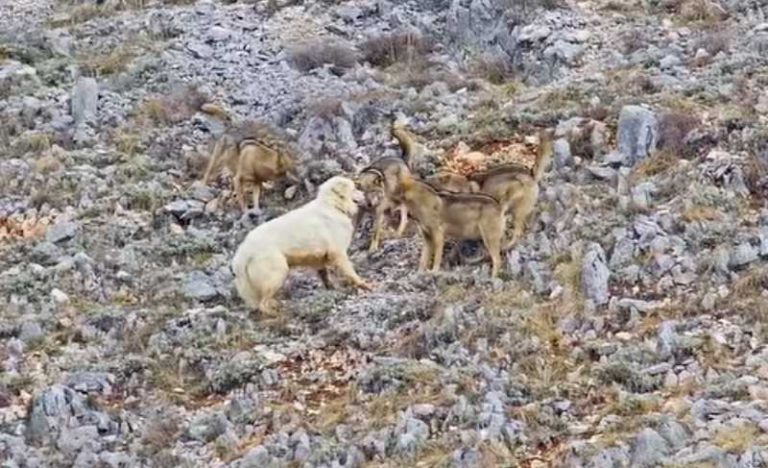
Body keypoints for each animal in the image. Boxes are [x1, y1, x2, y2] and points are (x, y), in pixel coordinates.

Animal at [231, 175, 372, 314]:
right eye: (354, 189)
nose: (365, 195)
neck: (332, 205)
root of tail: (244, 250)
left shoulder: (319, 260)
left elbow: (325, 276)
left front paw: (332, 289)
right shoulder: (338, 253)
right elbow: (351, 272)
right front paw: (364, 284)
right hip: (277, 273)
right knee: (263, 304)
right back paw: (276, 313)